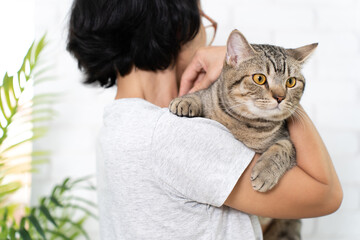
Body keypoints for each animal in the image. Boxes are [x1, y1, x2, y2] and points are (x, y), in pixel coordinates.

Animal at [170, 30, 316, 240]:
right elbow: (201, 95)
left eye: (291, 82)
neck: (245, 125)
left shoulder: (288, 141)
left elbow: (284, 147)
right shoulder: (209, 95)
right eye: (260, 79)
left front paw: (266, 171)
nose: (280, 97)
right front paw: (186, 101)